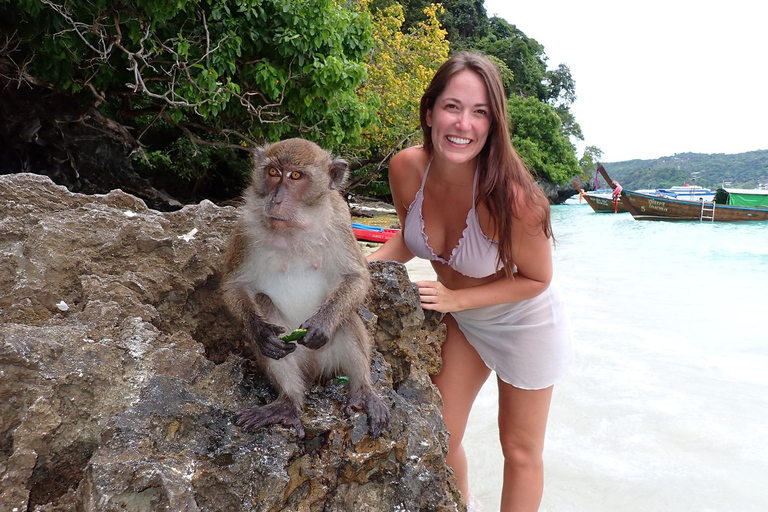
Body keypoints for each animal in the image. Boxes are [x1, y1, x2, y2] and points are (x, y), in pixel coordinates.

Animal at [220, 137, 390, 440]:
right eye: (273, 172)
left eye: (296, 176)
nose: (276, 199)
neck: (295, 227)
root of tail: (312, 369)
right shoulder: (244, 225)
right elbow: (233, 285)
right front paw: (260, 331)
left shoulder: (340, 219)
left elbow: (356, 277)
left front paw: (322, 324)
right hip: (295, 356)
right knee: (264, 304)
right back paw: (288, 403)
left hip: (327, 358)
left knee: (347, 317)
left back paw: (363, 392)